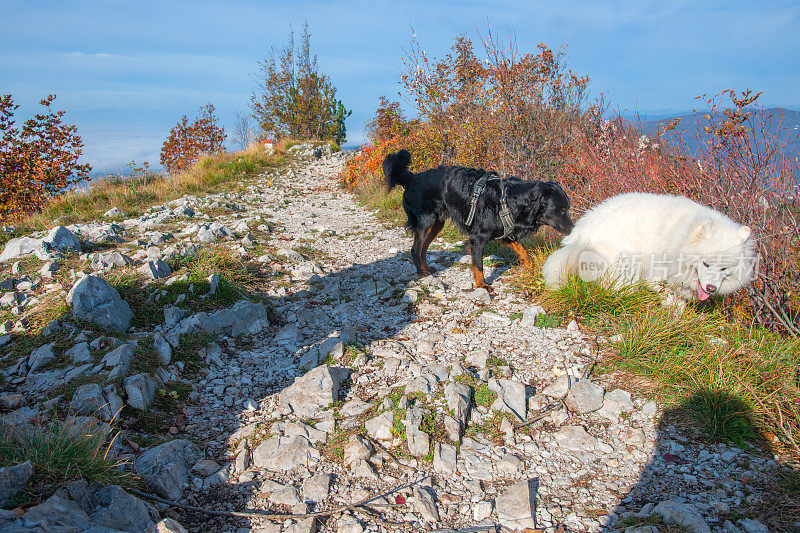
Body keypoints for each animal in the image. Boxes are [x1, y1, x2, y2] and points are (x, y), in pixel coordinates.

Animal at [382, 149, 576, 290]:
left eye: (566, 209)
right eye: (561, 210)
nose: (573, 228)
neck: (508, 199)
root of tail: (412, 177)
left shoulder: (507, 232)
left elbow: (523, 252)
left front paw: (533, 269)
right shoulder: (477, 238)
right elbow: (479, 265)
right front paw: (482, 285)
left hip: (437, 223)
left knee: (423, 248)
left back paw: (426, 269)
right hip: (427, 221)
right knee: (415, 248)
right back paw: (421, 272)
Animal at [544, 192, 756, 302]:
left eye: (724, 268)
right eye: (705, 264)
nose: (711, 288)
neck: (681, 237)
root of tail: (580, 233)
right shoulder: (660, 274)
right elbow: (665, 293)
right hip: (627, 257)